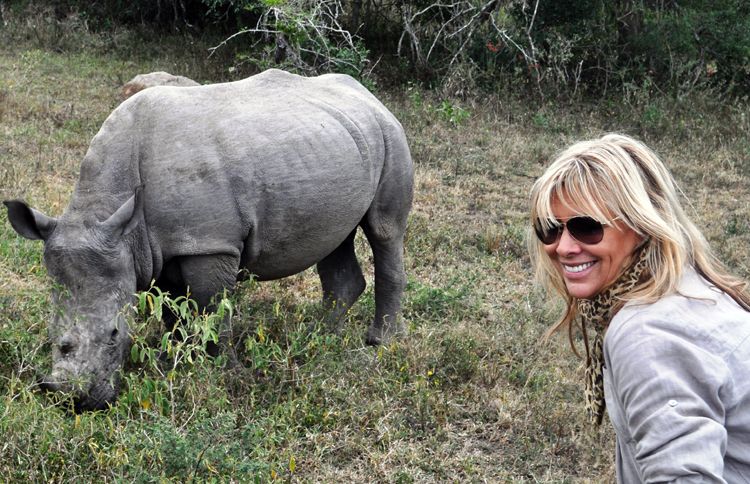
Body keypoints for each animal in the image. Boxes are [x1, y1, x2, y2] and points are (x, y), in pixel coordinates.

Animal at [2, 68, 418, 412]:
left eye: (115, 333)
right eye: (51, 333)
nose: (73, 402)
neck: (107, 213)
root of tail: (369, 94)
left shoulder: (208, 242)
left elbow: (212, 310)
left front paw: (222, 374)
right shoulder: (158, 249)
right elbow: (175, 315)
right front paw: (175, 362)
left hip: (391, 135)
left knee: (384, 230)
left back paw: (380, 343)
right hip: (341, 143)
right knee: (335, 239)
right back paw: (317, 336)